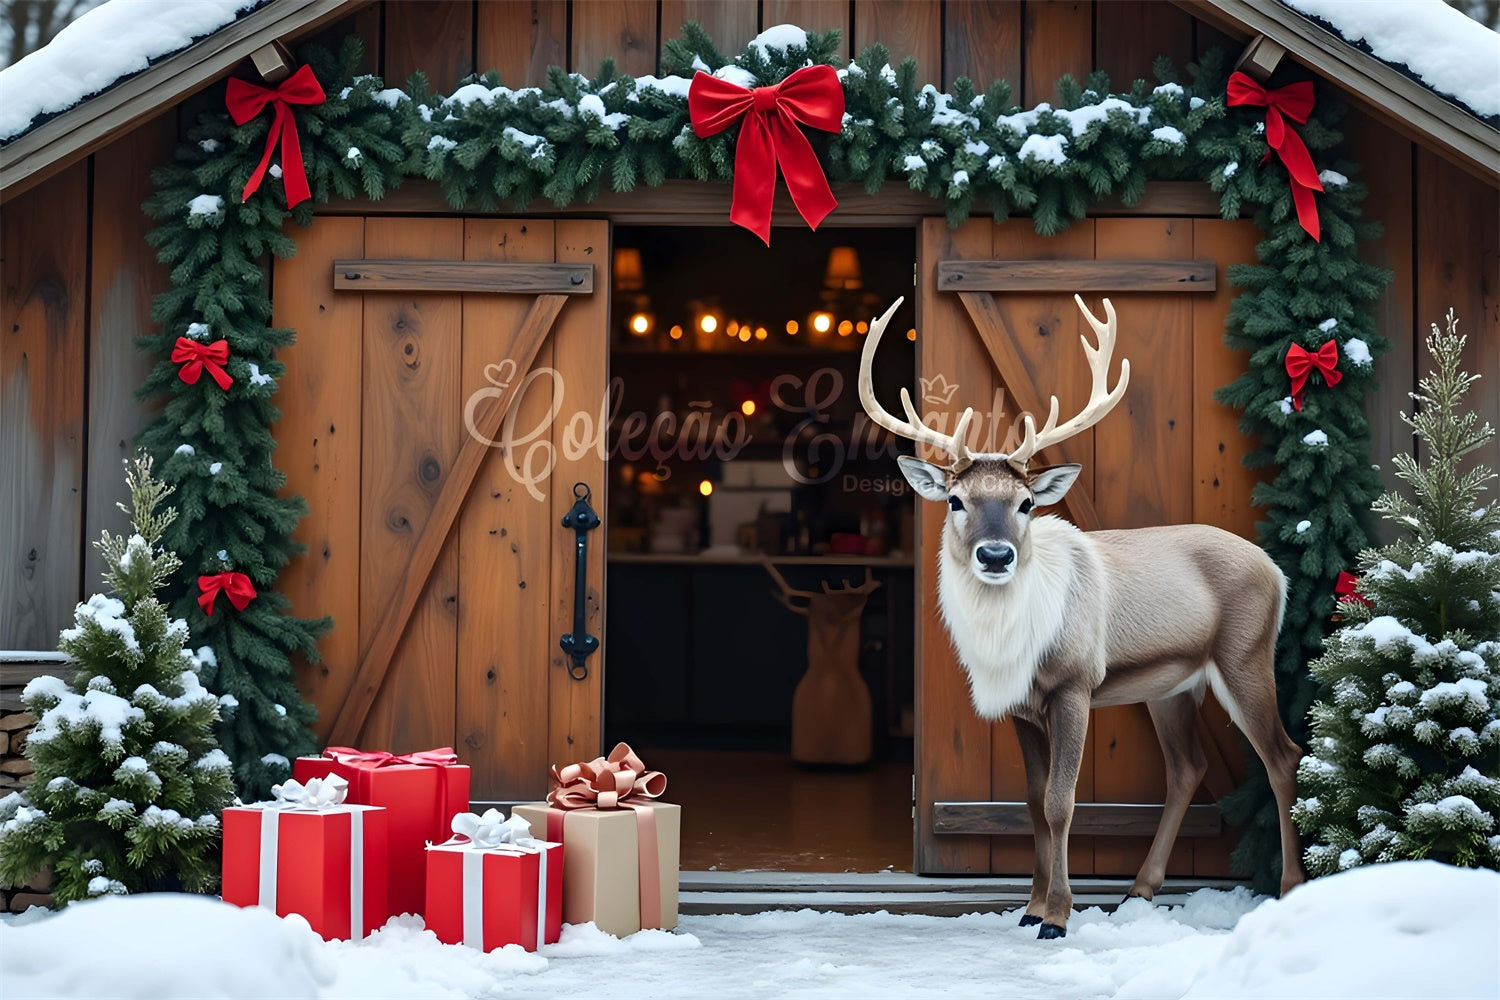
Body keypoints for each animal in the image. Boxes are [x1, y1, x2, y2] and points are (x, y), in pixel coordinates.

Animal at [860, 295, 1306, 939]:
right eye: (955, 500)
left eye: (1025, 503)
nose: (996, 555)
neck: (1011, 644)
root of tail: (1276, 571)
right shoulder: (1019, 706)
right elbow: (1031, 802)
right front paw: (1029, 908)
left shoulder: (1074, 684)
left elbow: (1060, 801)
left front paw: (1057, 917)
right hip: (1171, 686)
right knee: (1188, 767)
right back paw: (1139, 890)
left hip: (1245, 656)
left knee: (1282, 756)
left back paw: (1291, 887)